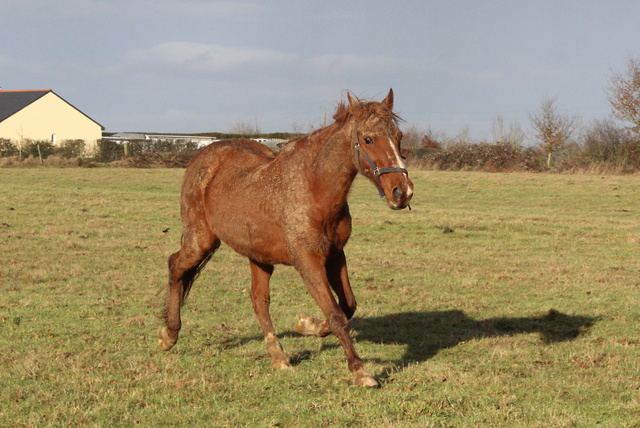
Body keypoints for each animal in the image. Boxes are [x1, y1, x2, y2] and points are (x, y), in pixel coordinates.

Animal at [158, 88, 412, 386]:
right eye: (368, 139)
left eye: (399, 136)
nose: (402, 192)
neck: (313, 188)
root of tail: (203, 156)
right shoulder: (308, 261)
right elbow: (337, 315)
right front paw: (360, 371)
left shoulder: (335, 255)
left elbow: (347, 306)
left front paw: (308, 325)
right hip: (201, 240)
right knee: (175, 265)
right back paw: (169, 335)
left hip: (258, 256)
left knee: (259, 300)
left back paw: (278, 356)